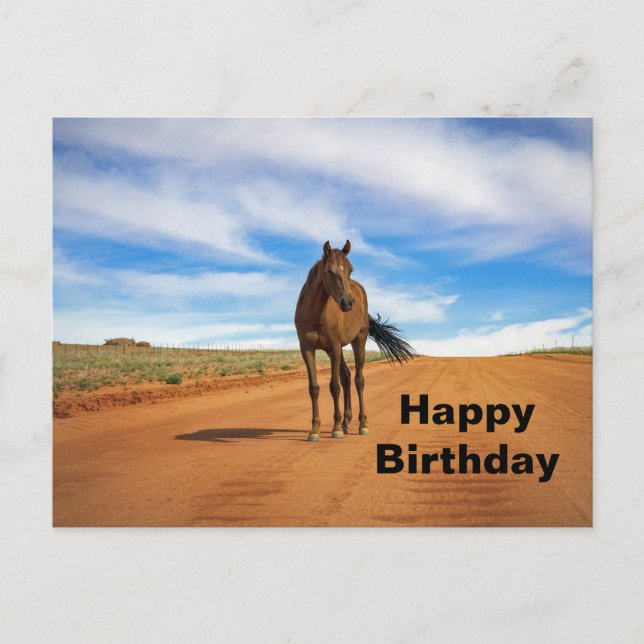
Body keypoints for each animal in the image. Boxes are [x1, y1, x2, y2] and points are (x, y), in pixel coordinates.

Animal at [294, 240, 415, 442]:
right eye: (329, 271)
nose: (348, 303)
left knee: (358, 380)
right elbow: (314, 388)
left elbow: (334, 386)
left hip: (359, 341)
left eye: (350, 270)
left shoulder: (334, 348)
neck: (315, 313)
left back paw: (362, 424)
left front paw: (335, 429)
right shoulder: (308, 349)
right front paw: (315, 430)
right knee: (346, 377)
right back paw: (346, 422)